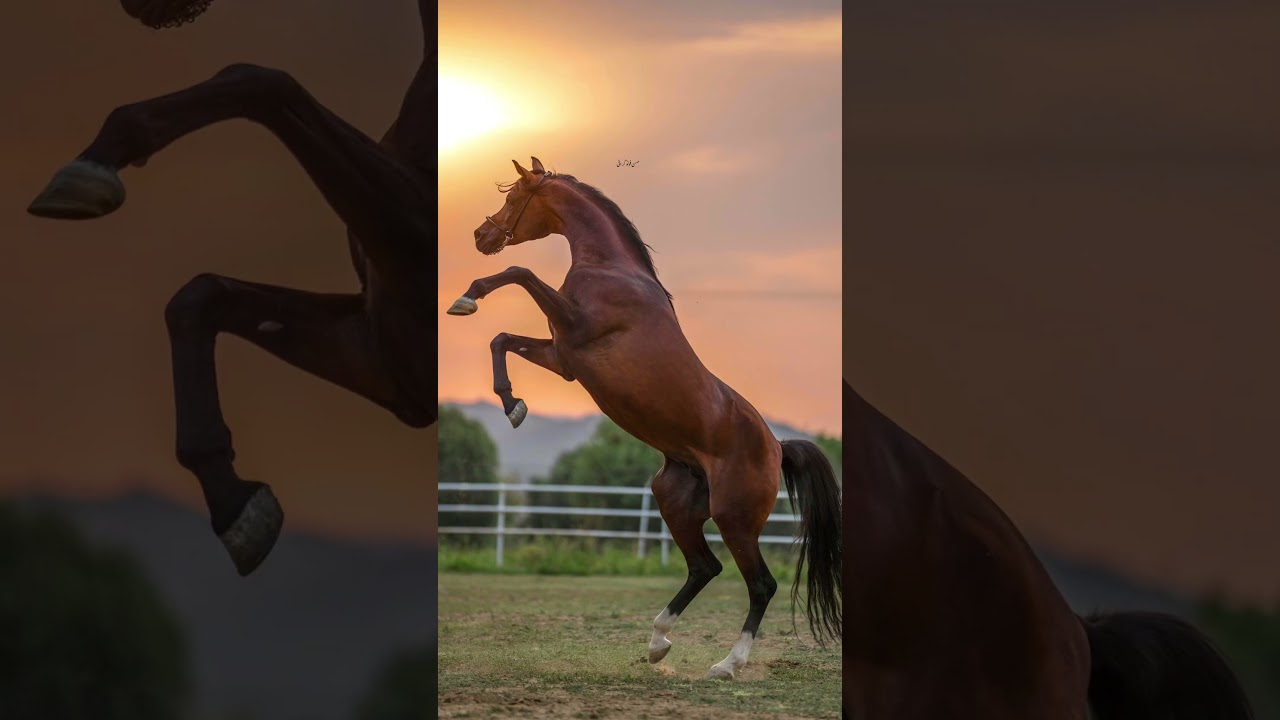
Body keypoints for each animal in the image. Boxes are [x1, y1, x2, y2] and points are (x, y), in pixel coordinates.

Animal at [25, 0, 436, 577]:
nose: (137, 9)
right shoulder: (386, 357)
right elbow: (199, 297)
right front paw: (235, 504)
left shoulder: (415, 251)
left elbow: (262, 82)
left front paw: (92, 166)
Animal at [446, 157, 843, 679]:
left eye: (513, 198)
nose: (481, 235)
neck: (611, 270)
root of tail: (778, 447)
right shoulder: (563, 357)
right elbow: (501, 339)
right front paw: (513, 405)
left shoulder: (574, 330)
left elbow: (520, 270)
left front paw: (468, 297)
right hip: (675, 502)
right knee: (704, 567)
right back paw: (657, 643)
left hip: (734, 518)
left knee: (760, 584)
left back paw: (726, 665)